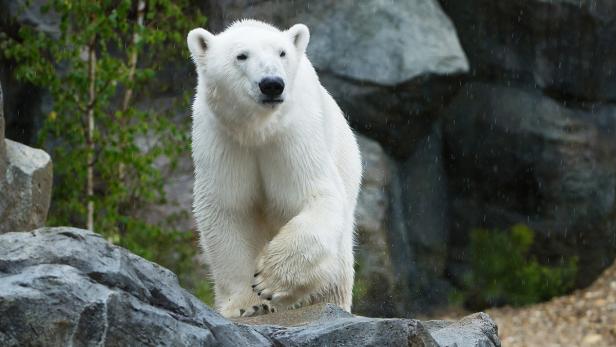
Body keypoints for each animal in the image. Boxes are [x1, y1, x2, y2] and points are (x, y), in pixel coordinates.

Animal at [186, 18, 360, 318]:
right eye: (241, 55)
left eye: (282, 53)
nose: (271, 85)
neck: (258, 130)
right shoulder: (223, 141)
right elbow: (228, 210)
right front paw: (248, 306)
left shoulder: (294, 137)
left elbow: (317, 196)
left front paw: (270, 280)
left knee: (336, 265)